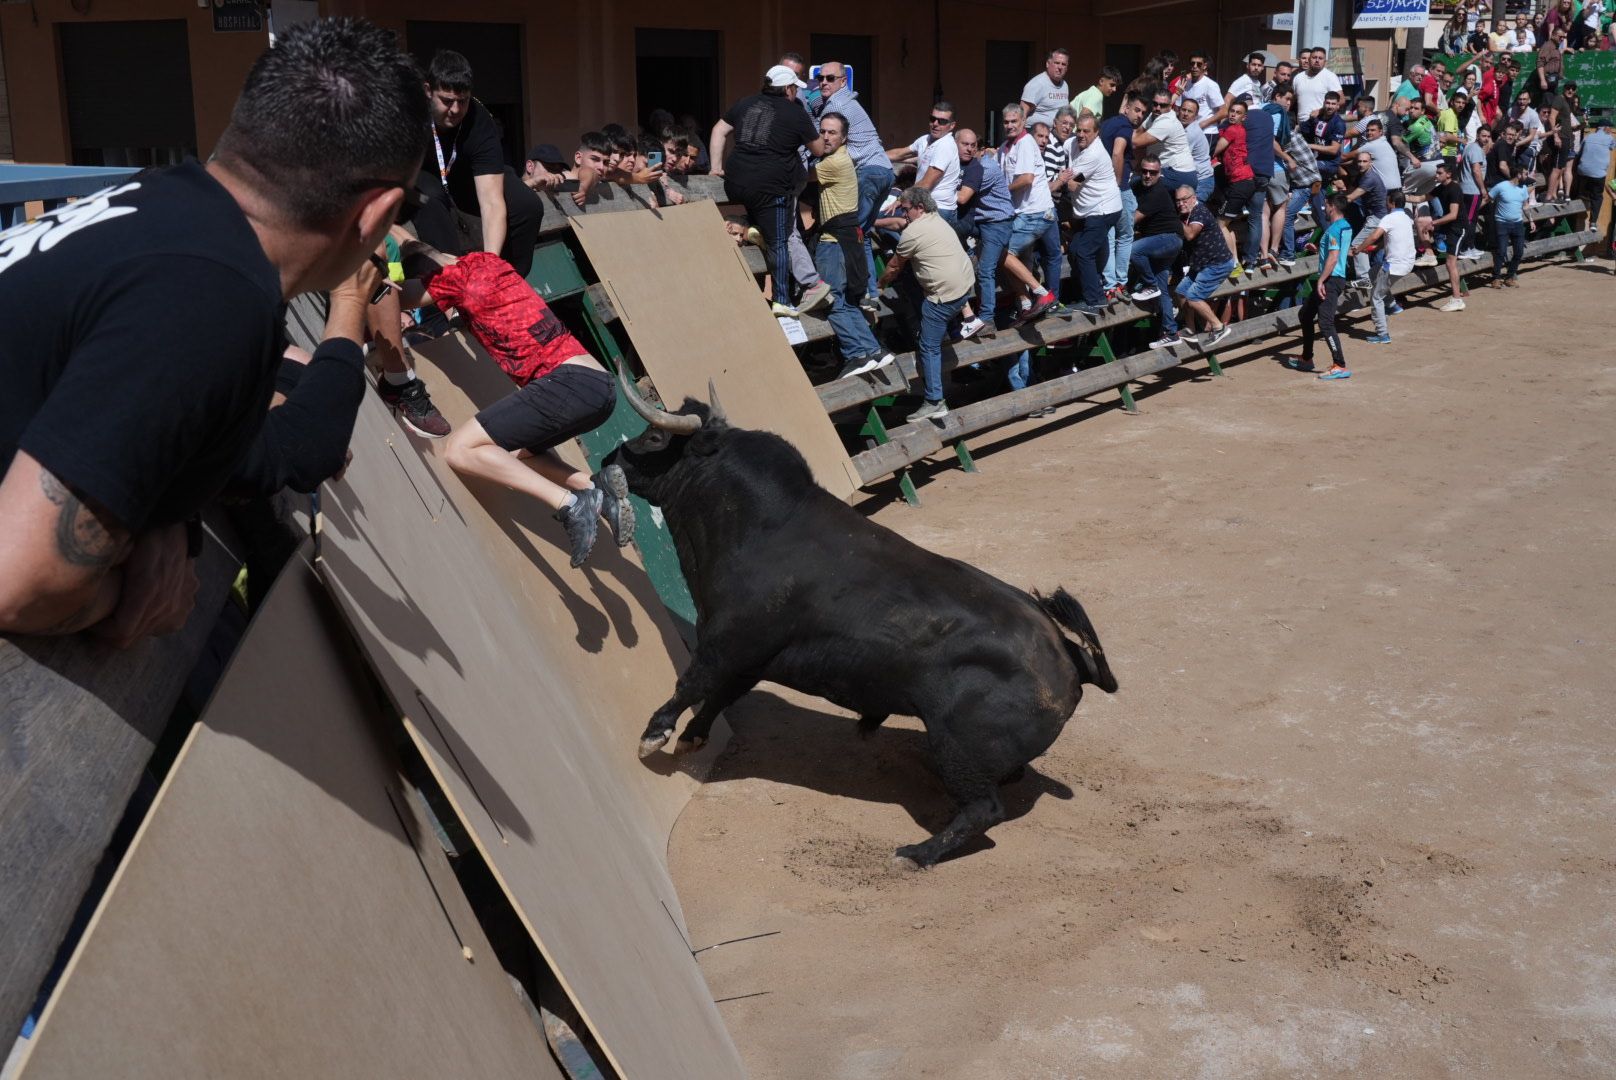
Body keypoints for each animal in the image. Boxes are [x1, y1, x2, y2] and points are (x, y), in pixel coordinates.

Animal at [601, 375, 1118, 866]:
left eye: (652, 436)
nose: (606, 461)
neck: (760, 525)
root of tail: (1070, 659)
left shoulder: (729, 640)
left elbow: (692, 682)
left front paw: (653, 736)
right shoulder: (750, 658)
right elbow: (719, 694)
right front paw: (691, 739)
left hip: (957, 748)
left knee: (983, 811)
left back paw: (914, 854)